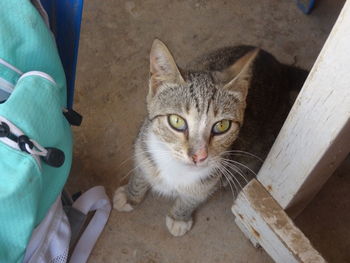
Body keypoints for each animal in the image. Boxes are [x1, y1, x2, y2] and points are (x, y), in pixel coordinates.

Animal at [113, 40, 308, 238]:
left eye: (222, 126)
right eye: (176, 121)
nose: (199, 156)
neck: (176, 169)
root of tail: (279, 67)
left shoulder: (209, 179)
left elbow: (193, 197)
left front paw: (179, 217)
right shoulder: (143, 146)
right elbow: (140, 173)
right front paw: (131, 195)